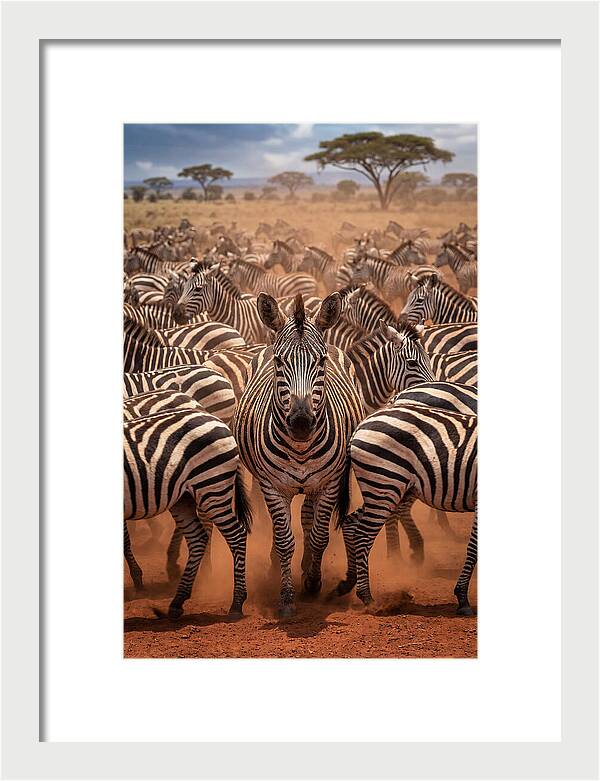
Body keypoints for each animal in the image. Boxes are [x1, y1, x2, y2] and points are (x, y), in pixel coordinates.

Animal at [124, 400, 252, 618]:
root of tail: (217, 419)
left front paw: (137, 579)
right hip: (183, 498)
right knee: (198, 538)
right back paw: (177, 601)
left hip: (212, 486)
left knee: (236, 535)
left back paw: (236, 603)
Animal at [232, 292, 364, 617]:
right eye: (280, 362)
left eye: (321, 361)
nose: (302, 423)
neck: (301, 448)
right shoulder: (272, 486)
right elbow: (283, 539)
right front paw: (287, 596)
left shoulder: (330, 483)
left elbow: (319, 535)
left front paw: (313, 582)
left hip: (317, 483)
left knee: (308, 516)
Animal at [339, 402, 477, 615]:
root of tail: (361, 425)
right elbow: (473, 548)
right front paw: (462, 598)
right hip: (385, 483)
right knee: (363, 535)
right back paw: (368, 598)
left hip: (384, 489)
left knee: (350, 523)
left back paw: (348, 582)